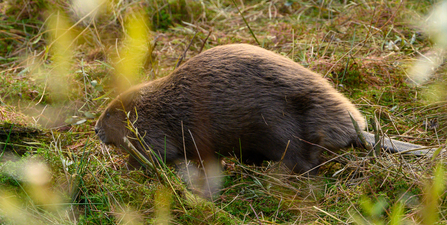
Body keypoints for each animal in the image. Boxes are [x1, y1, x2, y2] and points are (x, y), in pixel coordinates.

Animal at [93, 43, 434, 174]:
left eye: (109, 114)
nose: (95, 130)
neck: (155, 106)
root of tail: (357, 132)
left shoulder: (156, 131)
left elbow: (156, 156)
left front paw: (126, 169)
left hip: (282, 129)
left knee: (306, 161)